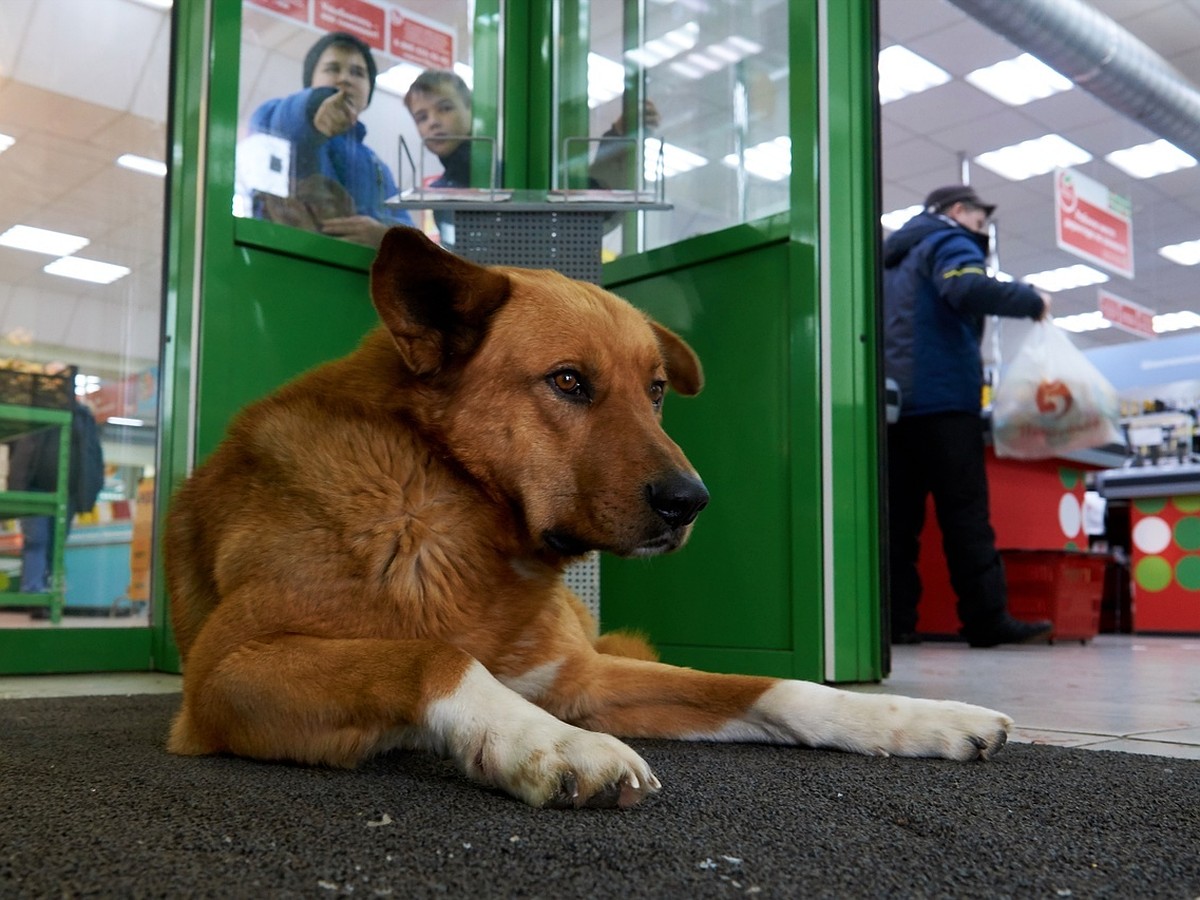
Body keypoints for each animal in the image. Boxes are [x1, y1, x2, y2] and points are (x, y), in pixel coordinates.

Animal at [164, 225, 1012, 811]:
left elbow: (771, 686)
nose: (690, 501)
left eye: (658, 390)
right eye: (569, 382)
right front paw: (543, 742)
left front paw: (912, 717)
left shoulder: (581, 675)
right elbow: (430, 657)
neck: (457, 513)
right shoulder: (226, 673)